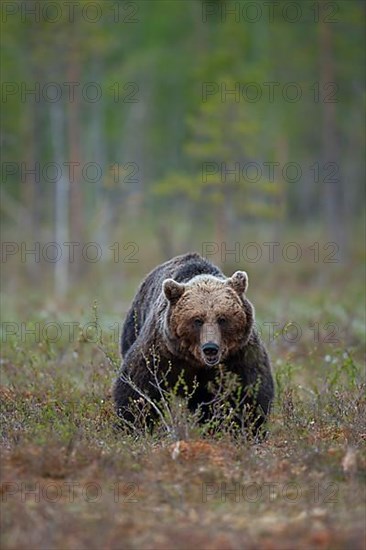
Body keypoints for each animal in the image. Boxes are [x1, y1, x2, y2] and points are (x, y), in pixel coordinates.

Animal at [113, 252, 274, 438]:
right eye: (197, 320)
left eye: (222, 319)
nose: (210, 348)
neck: (196, 361)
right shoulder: (160, 352)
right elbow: (137, 388)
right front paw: (133, 426)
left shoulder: (239, 355)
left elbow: (250, 393)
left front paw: (247, 429)